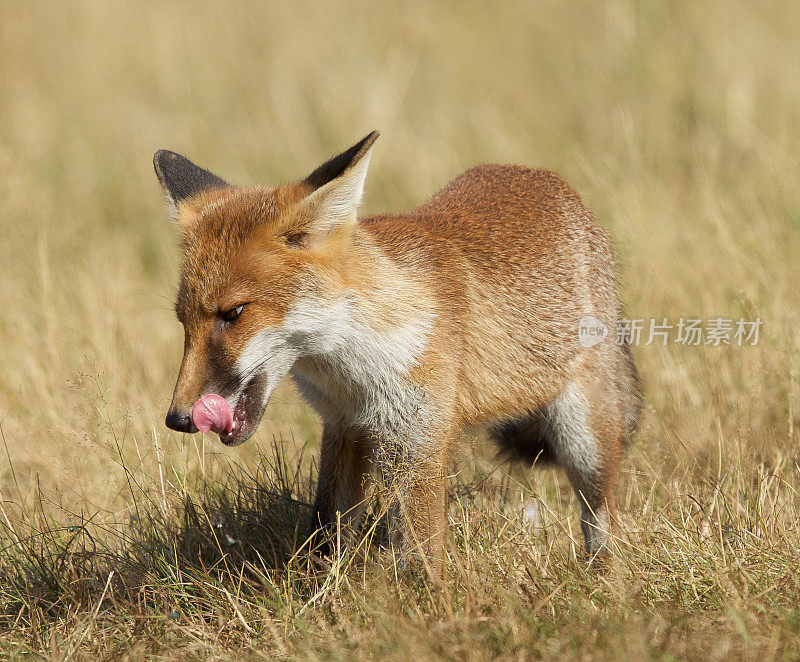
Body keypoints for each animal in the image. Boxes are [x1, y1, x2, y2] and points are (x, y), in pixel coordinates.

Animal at [156, 132, 644, 568]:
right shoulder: (344, 428)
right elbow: (326, 534)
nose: (178, 419)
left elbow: (418, 560)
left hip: (584, 442)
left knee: (602, 520)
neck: (355, 369)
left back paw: (603, 579)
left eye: (234, 312)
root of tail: (547, 179)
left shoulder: (419, 443)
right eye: (182, 320)